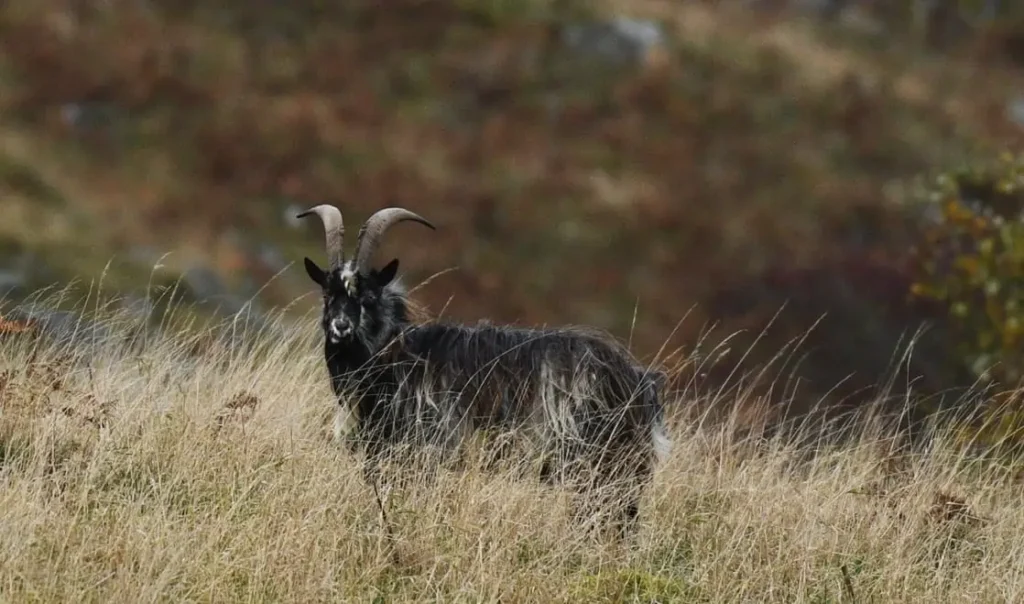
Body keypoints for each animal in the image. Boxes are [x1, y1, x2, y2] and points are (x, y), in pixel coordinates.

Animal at [297, 204, 672, 536]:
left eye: (368, 297)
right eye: (327, 295)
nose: (340, 327)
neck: (396, 355)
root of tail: (638, 383)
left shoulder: (430, 451)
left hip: (600, 466)